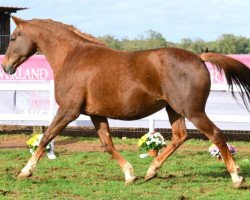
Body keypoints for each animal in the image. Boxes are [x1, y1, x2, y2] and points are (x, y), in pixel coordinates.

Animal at [1, 16, 250, 188]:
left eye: (13, 38)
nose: (6, 66)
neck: (72, 57)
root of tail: (199, 57)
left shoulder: (68, 110)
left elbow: (46, 138)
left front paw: (25, 171)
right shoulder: (96, 114)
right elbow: (107, 144)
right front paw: (130, 174)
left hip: (193, 111)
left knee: (215, 134)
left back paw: (236, 177)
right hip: (174, 110)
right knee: (180, 136)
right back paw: (151, 171)